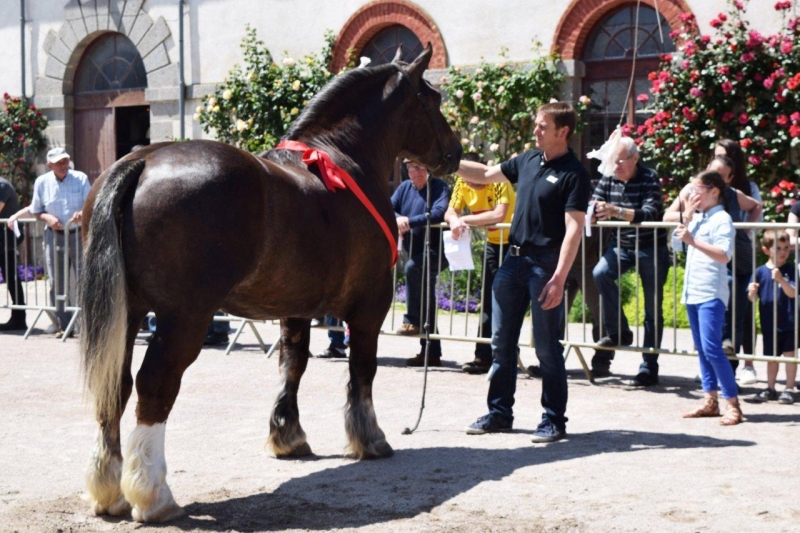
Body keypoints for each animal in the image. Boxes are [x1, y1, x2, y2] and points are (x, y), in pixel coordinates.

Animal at [81, 44, 462, 520]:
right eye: (434, 99)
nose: (456, 152)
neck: (340, 161)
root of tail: (142, 161)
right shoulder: (369, 307)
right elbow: (362, 370)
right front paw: (370, 439)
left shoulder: (295, 307)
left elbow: (292, 365)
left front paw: (288, 436)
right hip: (183, 319)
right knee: (155, 385)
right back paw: (153, 496)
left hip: (129, 313)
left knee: (116, 386)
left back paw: (109, 491)